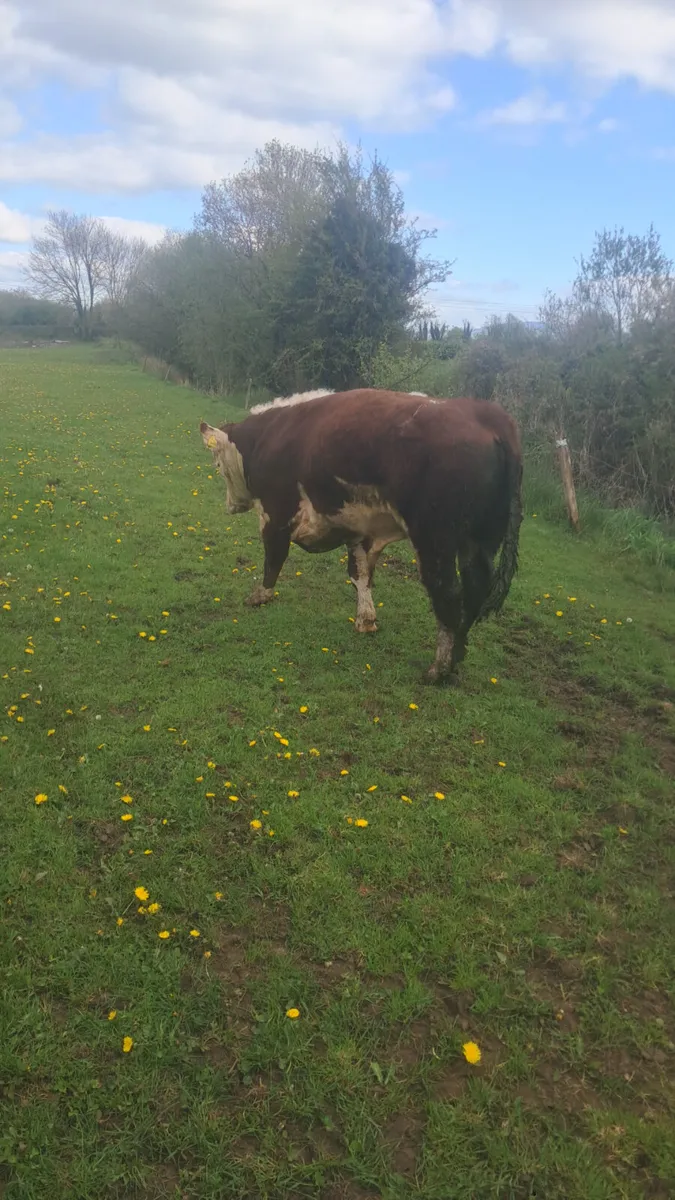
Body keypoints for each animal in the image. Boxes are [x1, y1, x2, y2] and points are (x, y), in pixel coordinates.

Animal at [200, 388, 522, 682]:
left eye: (217, 464)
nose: (230, 505)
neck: (268, 436)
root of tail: (487, 414)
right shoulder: (358, 528)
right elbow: (360, 573)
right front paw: (366, 620)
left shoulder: (275, 512)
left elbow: (273, 557)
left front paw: (260, 596)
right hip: (480, 540)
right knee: (475, 587)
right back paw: (457, 656)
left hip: (435, 539)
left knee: (449, 593)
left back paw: (439, 669)